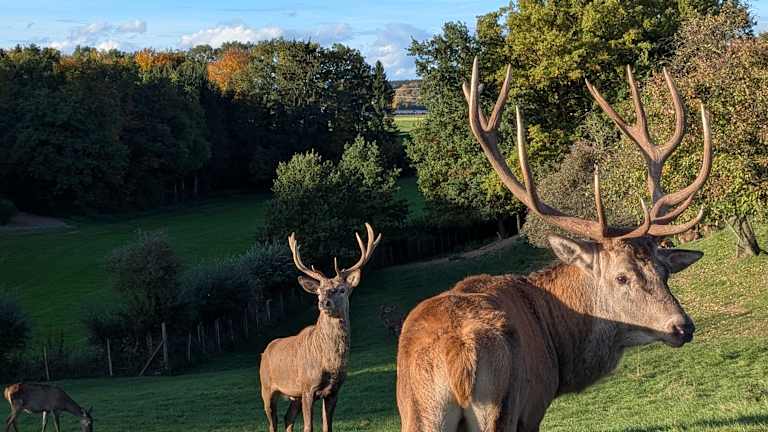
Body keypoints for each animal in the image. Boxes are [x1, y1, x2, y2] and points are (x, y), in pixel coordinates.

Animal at [259, 223, 381, 432]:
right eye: (319, 291)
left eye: (342, 290)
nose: (324, 302)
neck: (328, 362)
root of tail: (265, 351)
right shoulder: (308, 387)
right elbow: (309, 427)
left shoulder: (333, 391)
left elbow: (327, 426)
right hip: (266, 387)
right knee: (272, 422)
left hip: (294, 395)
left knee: (287, 418)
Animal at [396, 57, 713, 432]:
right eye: (621, 277)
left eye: (664, 273)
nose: (683, 326)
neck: (560, 351)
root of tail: (456, 353)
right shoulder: (533, 404)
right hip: (501, 406)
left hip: (418, 410)